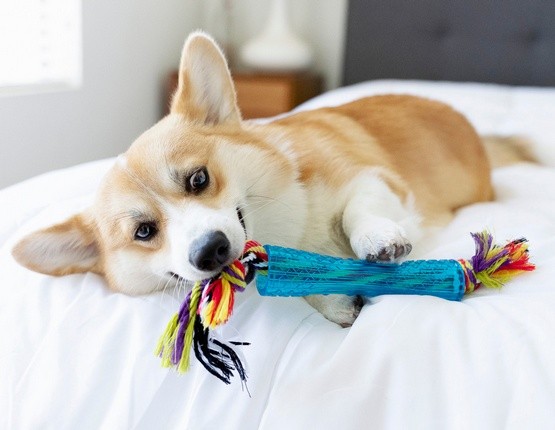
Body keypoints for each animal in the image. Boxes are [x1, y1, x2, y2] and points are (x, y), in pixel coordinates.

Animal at [12, 32, 493, 326]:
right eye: (143, 232)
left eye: (198, 179)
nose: (210, 251)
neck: (288, 229)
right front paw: (335, 301)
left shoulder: (375, 178)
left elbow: (360, 208)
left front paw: (377, 240)